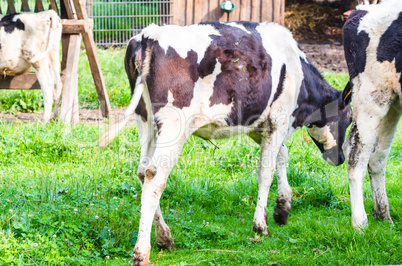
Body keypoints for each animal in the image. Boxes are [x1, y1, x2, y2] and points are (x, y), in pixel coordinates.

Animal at [99, 21, 352, 266]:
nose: (340, 158)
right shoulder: (278, 119)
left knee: (143, 172)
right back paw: (143, 252)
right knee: (155, 177)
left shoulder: (259, 124)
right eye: (349, 118)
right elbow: (266, 171)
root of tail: (150, 33)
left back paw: (165, 238)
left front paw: (282, 208)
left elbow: (282, 156)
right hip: (173, 123)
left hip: (145, 119)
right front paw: (260, 226)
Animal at [342, 0, 402, 229]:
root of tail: (360, 10)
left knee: (377, 156)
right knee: (355, 153)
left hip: (393, 102)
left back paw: (383, 215)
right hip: (371, 97)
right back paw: (360, 223)